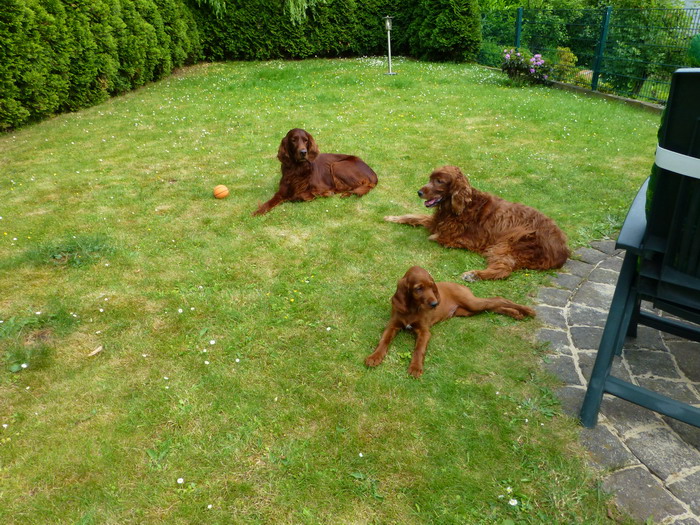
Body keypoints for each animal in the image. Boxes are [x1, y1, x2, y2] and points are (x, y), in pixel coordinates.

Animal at [364, 266, 535, 378]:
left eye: (431, 286)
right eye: (418, 288)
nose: (435, 304)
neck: (413, 308)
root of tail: (460, 285)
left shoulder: (425, 331)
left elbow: (419, 349)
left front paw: (415, 368)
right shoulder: (393, 325)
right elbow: (384, 340)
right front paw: (374, 357)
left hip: (471, 303)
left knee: (497, 299)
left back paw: (526, 311)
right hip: (467, 311)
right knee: (493, 306)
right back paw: (516, 314)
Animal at [385, 166, 570, 281]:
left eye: (440, 181)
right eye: (430, 178)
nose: (419, 192)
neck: (460, 207)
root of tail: (563, 250)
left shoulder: (460, 238)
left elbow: (436, 236)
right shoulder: (435, 221)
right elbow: (414, 216)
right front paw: (392, 217)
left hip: (508, 243)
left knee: (503, 270)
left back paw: (473, 275)